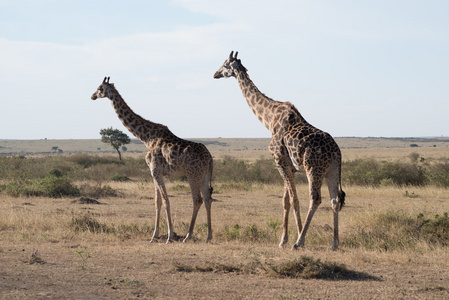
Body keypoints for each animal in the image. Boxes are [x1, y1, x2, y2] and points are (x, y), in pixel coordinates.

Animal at [91, 77, 214, 244]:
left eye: (99, 88)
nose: (92, 96)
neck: (146, 137)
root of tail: (209, 158)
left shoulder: (154, 169)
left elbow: (165, 200)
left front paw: (169, 236)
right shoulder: (156, 172)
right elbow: (158, 201)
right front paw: (154, 235)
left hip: (192, 174)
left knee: (197, 200)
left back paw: (188, 236)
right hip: (204, 175)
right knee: (208, 199)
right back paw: (208, 236)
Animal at [213, 52, 344, 251]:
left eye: (225, 64)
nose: (215, 74)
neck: (269, 118)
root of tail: (337, 152)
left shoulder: (279, 160)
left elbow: (294, 200)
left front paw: (297, 237)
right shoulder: (289, 167)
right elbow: (286, 201)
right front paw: (283, 240)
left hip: (314, 169)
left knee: (315, 199)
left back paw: (300, 242)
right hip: (332, 170)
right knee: (335, 200)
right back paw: (334, 243)